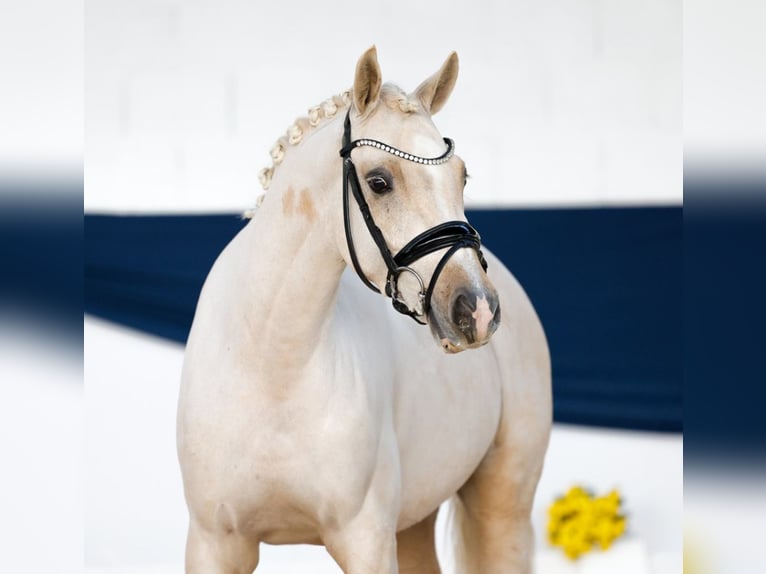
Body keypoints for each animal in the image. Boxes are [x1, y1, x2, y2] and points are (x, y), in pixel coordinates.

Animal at [180, 47, 552, 572]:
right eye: (379, 182)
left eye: (462, 176)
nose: (476, 309)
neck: (271, 366)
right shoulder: (214, 542)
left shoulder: (366, 541)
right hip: (415, 522)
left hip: (503, 508)